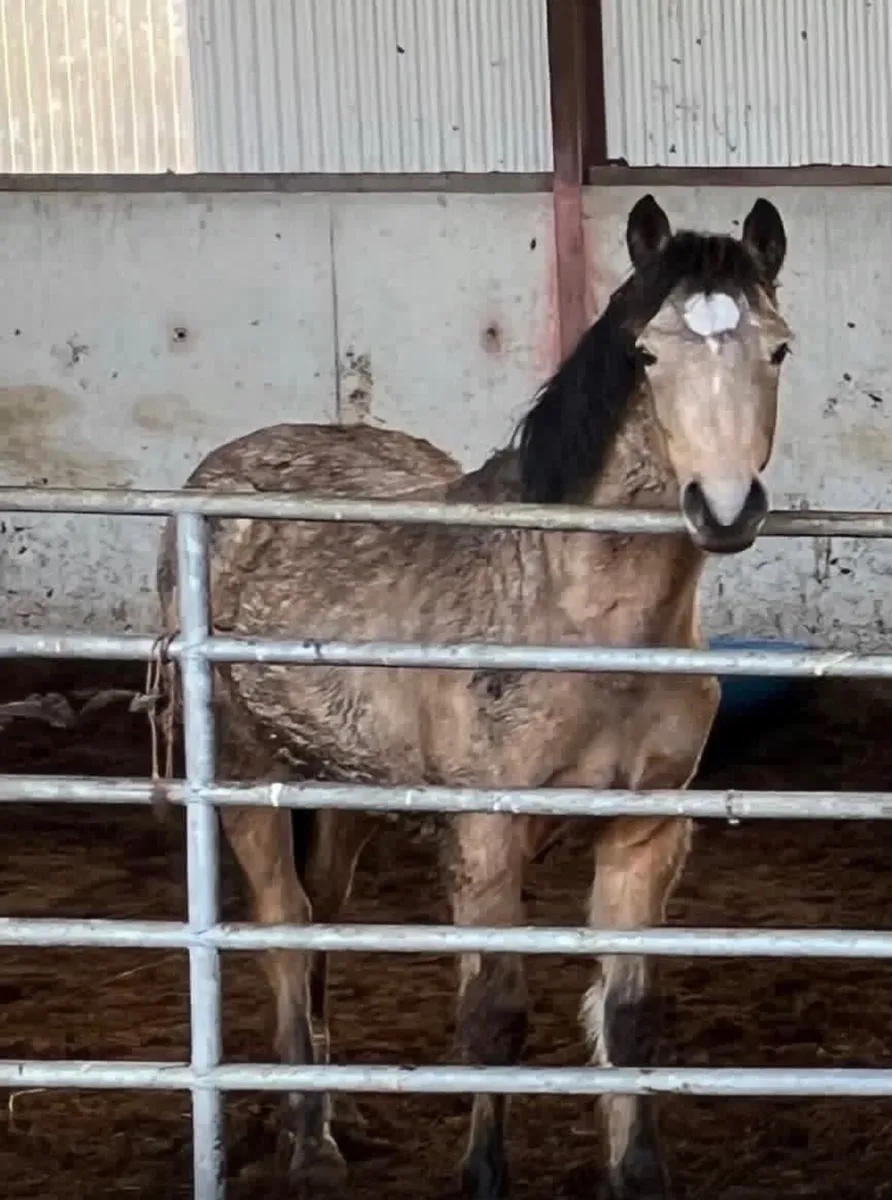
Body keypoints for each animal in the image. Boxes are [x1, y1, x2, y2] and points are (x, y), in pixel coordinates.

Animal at [157, 193, 792, 1198]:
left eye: (778, 349)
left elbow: (629, 1021)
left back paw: (334, 1106)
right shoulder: (488, 839)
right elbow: (494, 1020)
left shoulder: (647, 831)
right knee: (287, 926)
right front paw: (483, 1174)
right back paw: (310, 1141)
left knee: (327, 914)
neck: (570, 611)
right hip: (248, 769)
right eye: (649, 355)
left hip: (344, 786)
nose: (724, 509)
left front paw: (638, 1175)